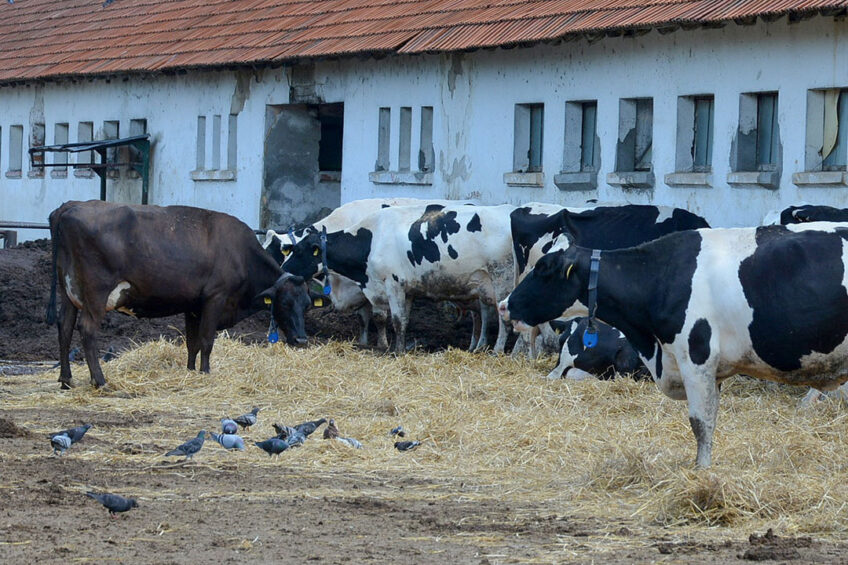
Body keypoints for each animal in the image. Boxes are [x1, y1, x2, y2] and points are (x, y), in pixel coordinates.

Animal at [47, 198, 318, 388]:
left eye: (306, 305)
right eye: (285, 303)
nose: (301, 340)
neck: (240, 253)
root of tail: (71, 206)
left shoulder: (193, 306)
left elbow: (192, 343)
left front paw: (190, 371)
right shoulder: (215, 298)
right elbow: (207, 341)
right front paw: (205, 373)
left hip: (69, 291)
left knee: (65, 326)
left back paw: (66, 380)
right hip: (96, 293)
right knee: (87, 329)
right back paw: (99, 381)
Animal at [282, 203, 512, 352]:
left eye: (299, 251)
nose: (283, 268)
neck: (373, 239)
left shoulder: (393, 284)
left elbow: (396, 320)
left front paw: (396, 351)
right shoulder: (403, 290)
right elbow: (396, 319)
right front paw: (394, 346)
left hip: (501, 280)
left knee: (503, 319)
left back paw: (498, 350)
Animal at [504, 221, 848, 468]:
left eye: (544, 269)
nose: (505, 305)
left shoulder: (695, 356)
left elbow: (700, 422)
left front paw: (702, 473)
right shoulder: (709, 368)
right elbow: (710, 418)